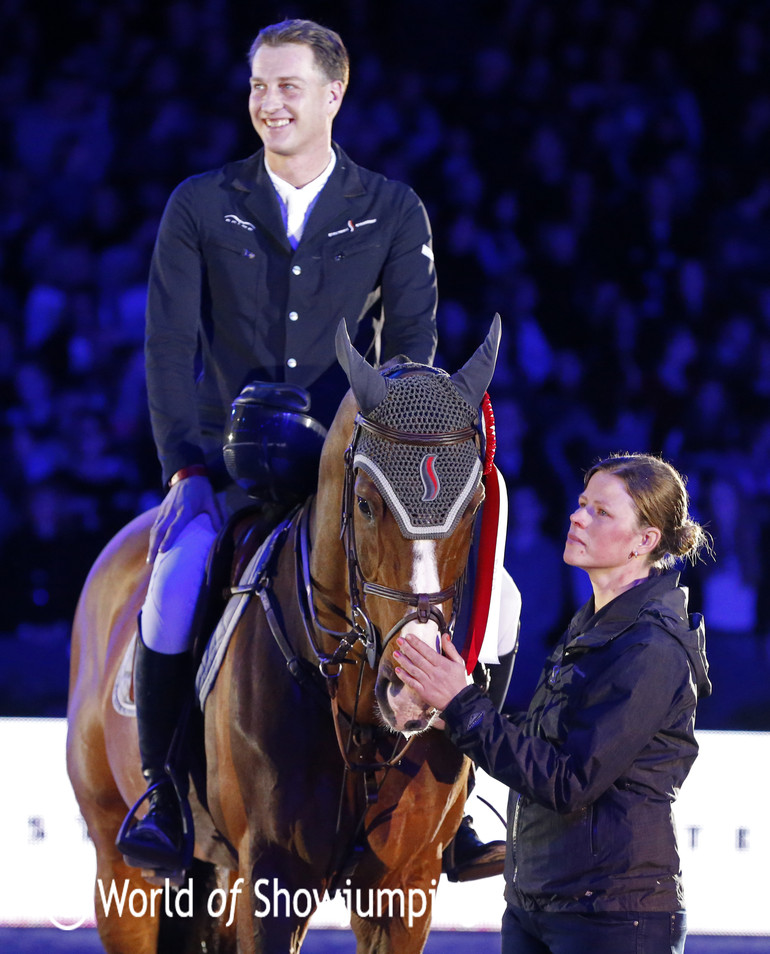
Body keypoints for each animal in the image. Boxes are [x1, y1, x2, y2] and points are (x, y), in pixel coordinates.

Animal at [64, 316, 498, 948]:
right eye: (365, 504)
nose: (414, 690)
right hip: (118, 871)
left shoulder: (406, 886)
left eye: (473, 506)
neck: (355, 708)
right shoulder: (272, 879)